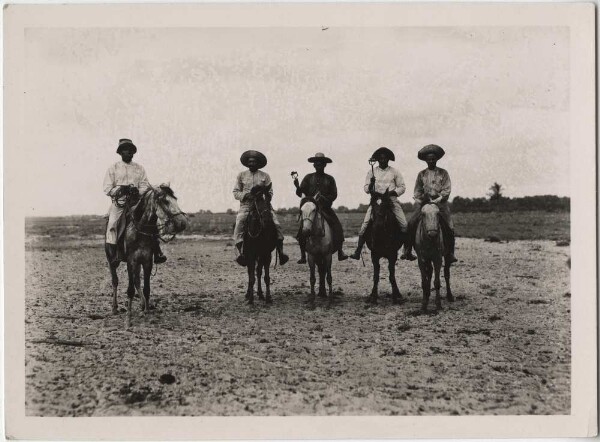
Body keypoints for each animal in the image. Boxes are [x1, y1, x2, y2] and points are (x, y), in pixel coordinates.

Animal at [103, 184, 188, 328]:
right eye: (165, 201)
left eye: (175, 199)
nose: (182, 223)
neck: (140, 230)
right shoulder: (131, 261)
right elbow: (130, 289)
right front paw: (129, 316)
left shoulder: (147, 261)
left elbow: (146, 288)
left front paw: (147, 311)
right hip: (112, 261)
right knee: (115, 281)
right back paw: (114, 308)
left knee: (137, 281)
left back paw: (142, 305)